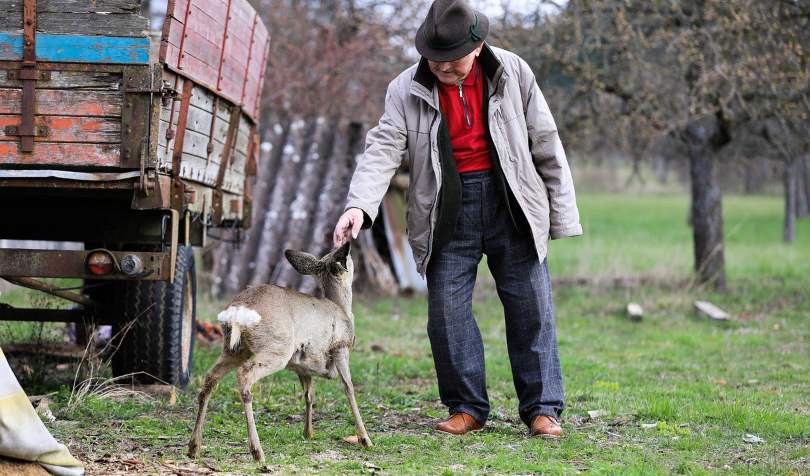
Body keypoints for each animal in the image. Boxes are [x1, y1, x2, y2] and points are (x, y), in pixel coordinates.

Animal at [185, 242, 370, 462]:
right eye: (348, 258)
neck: (342, 309)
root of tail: (239, 311)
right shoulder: (340, 348)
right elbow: (349, 388)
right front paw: (365, 439)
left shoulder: (303, 366)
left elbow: (309, 394)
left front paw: (308, 433)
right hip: (277, 348)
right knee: (244, 375)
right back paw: (257, 452)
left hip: (233, 349)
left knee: (210, 378)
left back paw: (194, 447)